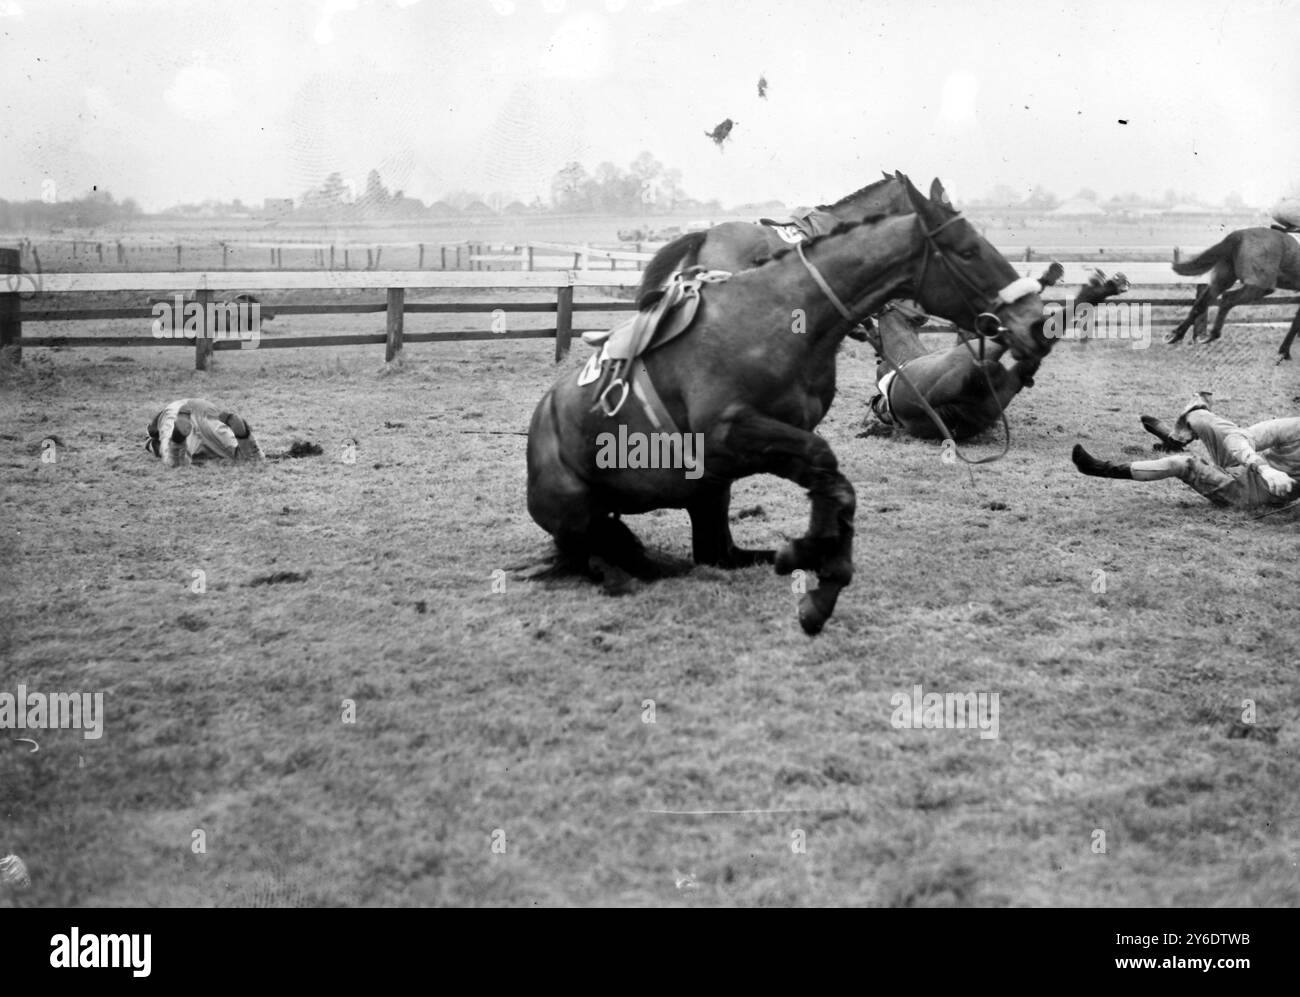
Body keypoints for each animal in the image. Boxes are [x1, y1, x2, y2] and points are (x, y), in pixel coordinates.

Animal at [525, 173, 1046, 635]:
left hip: (708, 497)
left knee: (717, 554)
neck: (782, 314)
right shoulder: (726, 438)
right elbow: (827, 467)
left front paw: (816, 562)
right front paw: (819, 568)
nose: (1036, 323)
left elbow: (832, 482)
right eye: (968, 250)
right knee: (607, 562)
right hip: (591, 515)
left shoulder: (773, 442)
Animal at [1163, 228, 1300, 360]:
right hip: (1260, 286)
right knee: (1227, 298)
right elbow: (1296, 323)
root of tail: (1239, 234)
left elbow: (1296, 322)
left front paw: (1284, 351)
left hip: (1224, 279)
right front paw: (1285, 352)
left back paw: (1177, 335)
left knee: (1203, 303)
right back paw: (1212, 334)